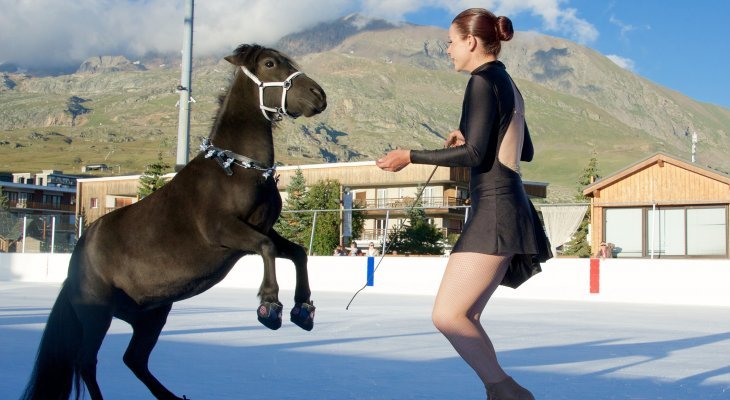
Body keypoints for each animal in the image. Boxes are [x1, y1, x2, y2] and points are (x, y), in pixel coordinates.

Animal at [20, 44, 328, 400]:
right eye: (269, 63)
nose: (319, 95)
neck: (235, 170)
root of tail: (77, 257)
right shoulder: (224, 232)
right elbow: (267, 249)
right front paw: (270, 306)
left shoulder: (259, 229)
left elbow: (297, 253)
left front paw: (302, 310)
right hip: (96, 313)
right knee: (87, 362)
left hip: (151, 314)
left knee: (134, 359)